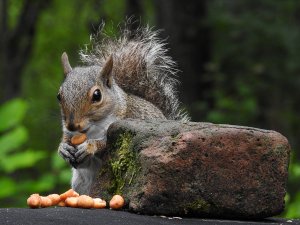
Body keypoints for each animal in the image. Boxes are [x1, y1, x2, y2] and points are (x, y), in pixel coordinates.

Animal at [57, 23, 189, 194]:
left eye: (97, 95)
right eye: (59, 96)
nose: (72, 125)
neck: (92, 129)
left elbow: (104, 146)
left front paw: (90, 146)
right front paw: (63, 149)